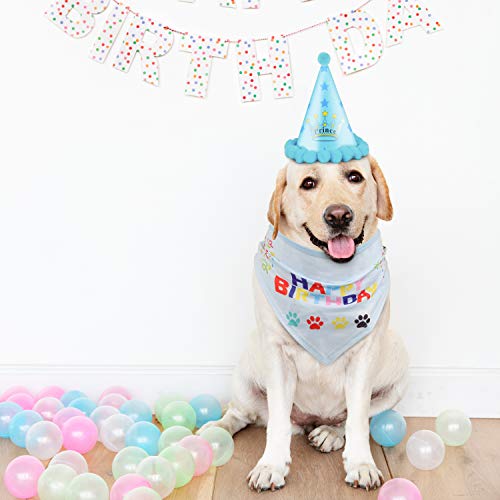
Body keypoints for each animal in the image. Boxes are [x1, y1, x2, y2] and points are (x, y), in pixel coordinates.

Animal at [199, 156, 406, 492]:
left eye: (354, 176)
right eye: (308, 183)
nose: (338, 216)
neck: (326, 280)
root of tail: (310, 419)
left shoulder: (364, 358)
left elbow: (358, 419)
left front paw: (361, 464)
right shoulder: (276, 355)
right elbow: (277, 422)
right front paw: (270, 466)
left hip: (397, 372)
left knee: (350, 417)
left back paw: (330, 433)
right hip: (244, 372)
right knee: (243, 414)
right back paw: (215, 429)